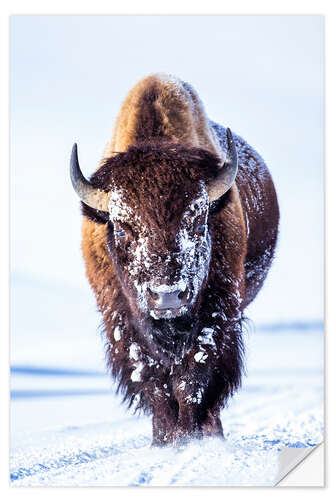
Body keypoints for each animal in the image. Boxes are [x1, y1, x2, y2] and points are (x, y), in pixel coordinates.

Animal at [69, 74, 278, 446]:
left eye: (197, 223)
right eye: (122, 228)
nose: (167, 296)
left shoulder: (217, 313)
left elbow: (193, 376)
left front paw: (192, 436)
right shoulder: (121, 321)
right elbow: (152, 380)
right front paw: (166, 439)